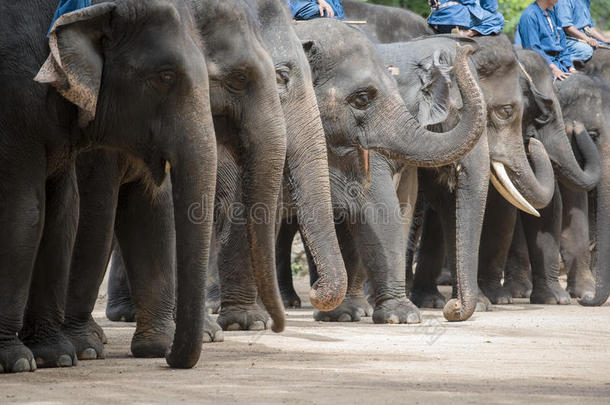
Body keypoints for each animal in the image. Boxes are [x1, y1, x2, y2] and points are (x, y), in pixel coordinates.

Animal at [0, 0, 218, 372]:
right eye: (165, 76)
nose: (171, 358)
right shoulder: (15, 109)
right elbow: (26, 214)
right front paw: (17, 361)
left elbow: (65, 215)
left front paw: (56, 356)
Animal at [272, 19, 484, 324]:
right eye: (361, 98)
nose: (452, 309)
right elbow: (377, 205)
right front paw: (403, 317)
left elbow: (369, 206)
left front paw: (363, 315)